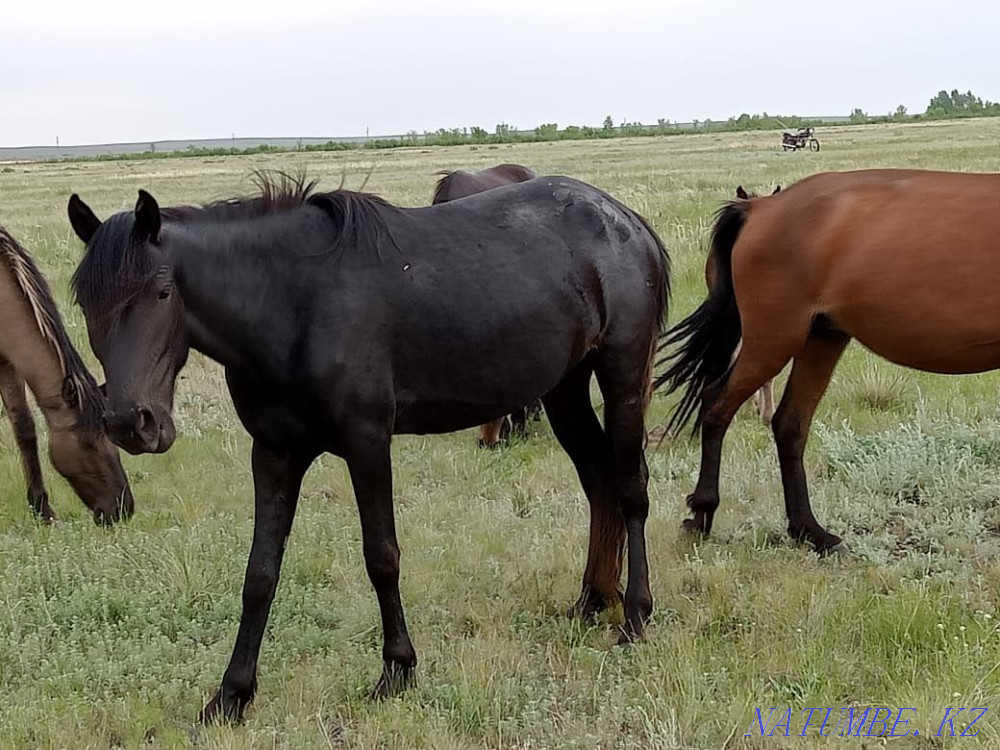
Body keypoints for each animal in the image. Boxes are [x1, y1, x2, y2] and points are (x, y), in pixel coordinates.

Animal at [655, 168, 1000, 556]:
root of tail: (760, 208)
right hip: (774, 340)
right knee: (717, 405)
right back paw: (702, 514)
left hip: (820, 339)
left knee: (789, 424)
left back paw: (810, 531)